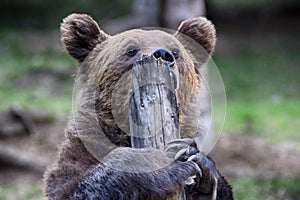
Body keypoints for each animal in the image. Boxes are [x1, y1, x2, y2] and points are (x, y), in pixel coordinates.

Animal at [43, 13, 233, 199]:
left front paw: (199, 163)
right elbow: (72, 188)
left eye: (176, 52)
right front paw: (161, 162)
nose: (162, 54)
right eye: (131, 50)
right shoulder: (80, 153)